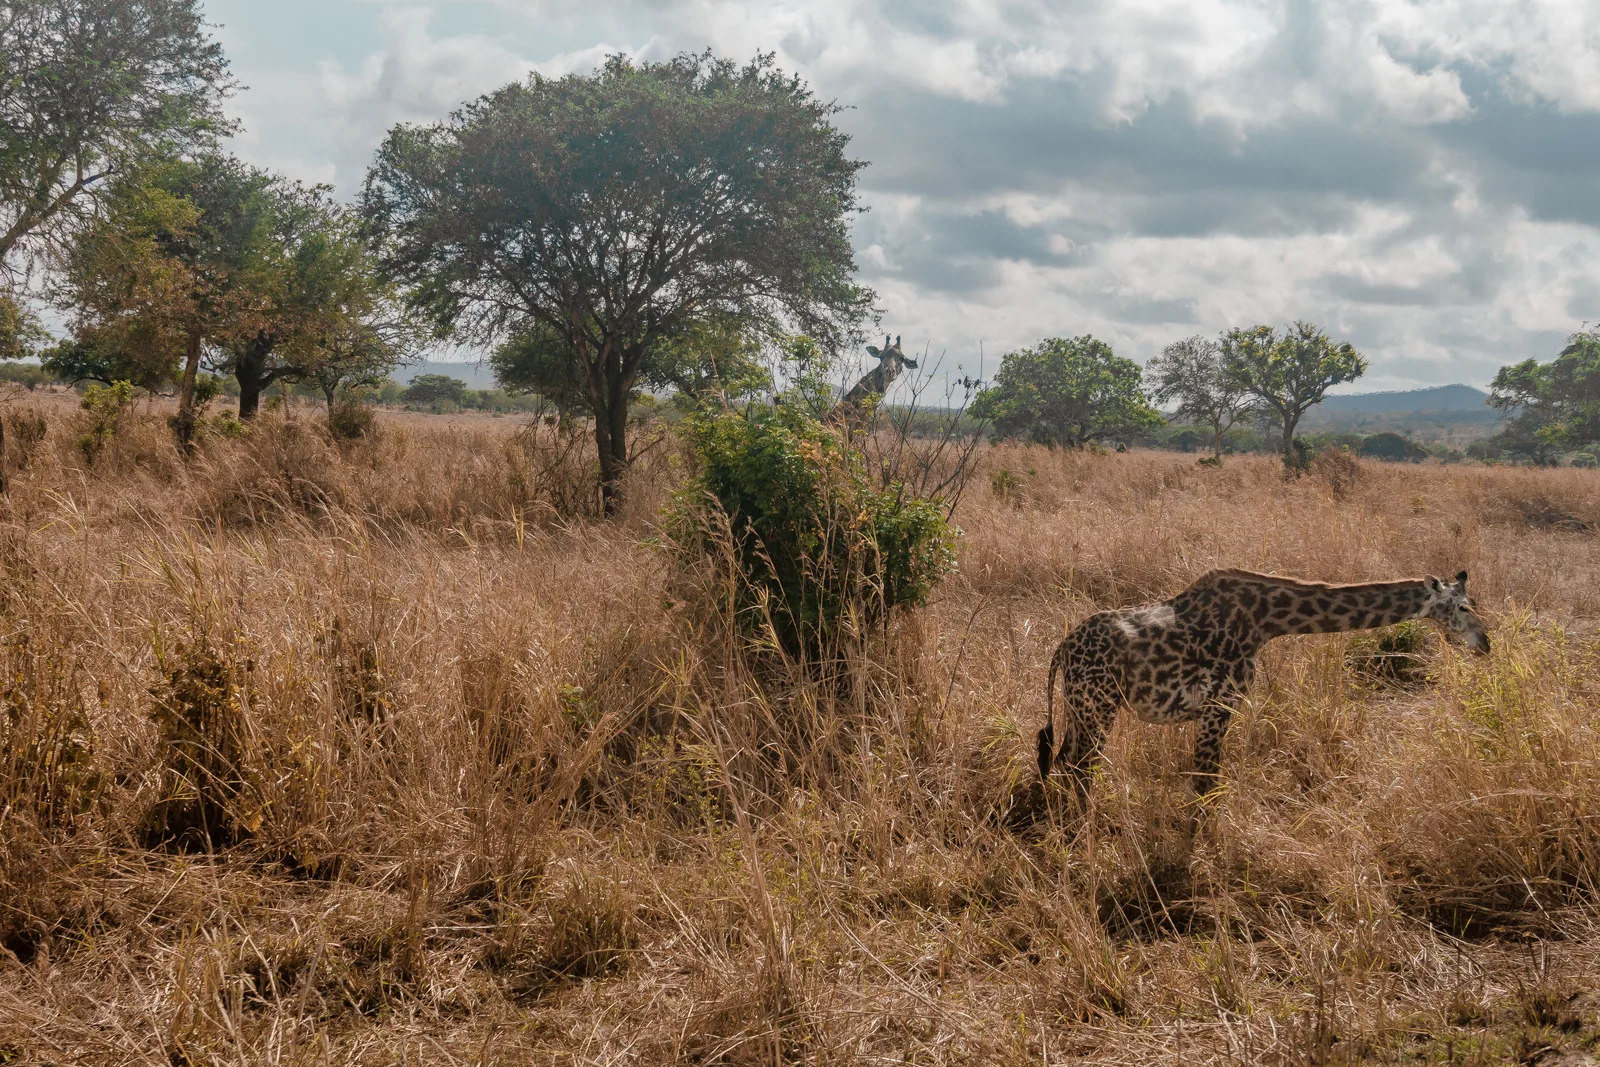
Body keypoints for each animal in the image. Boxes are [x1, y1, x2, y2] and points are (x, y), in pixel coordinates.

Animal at [1037, 568, 1490, 801]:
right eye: (1464, 607)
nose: (1485, 643)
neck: (1264, 622)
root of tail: (1062, 649)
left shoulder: (1215, 711)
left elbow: (1206, 783)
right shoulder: (1218, 707)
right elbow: (1204, 785)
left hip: (1079, 708)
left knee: (1065, 763)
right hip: (1098, 708)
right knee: (1081, 769)